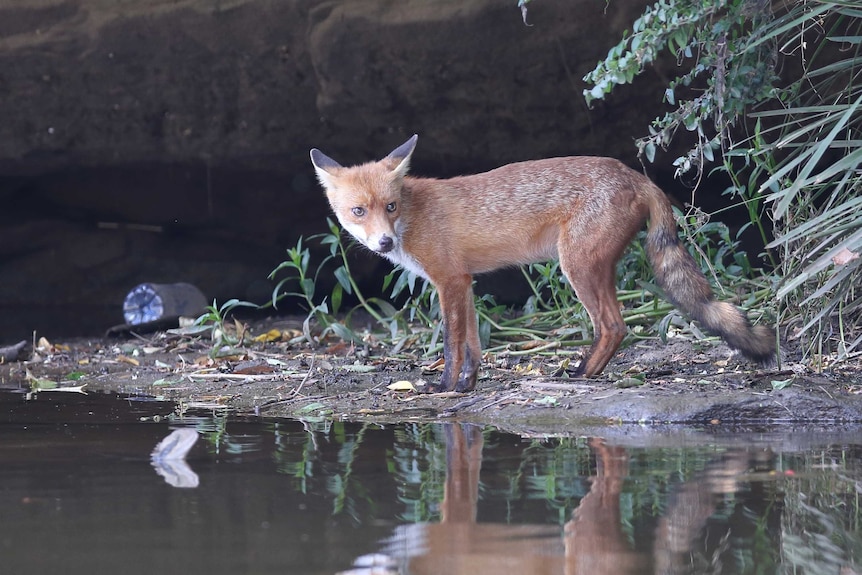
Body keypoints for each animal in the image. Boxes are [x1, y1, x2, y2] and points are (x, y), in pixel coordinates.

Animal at [309, 134, 775, 393]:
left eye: (389, 207)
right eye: (358, 211)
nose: (385, 242)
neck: (414, 213)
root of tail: (637, 176)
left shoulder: (449, 281)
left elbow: (452, 346)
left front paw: (442, 388)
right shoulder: (466, 282)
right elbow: (474, 346)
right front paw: (466, 388)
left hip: (577, 267)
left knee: (614, 326)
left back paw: (581, 375)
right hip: (592, 268)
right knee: (617, 326)